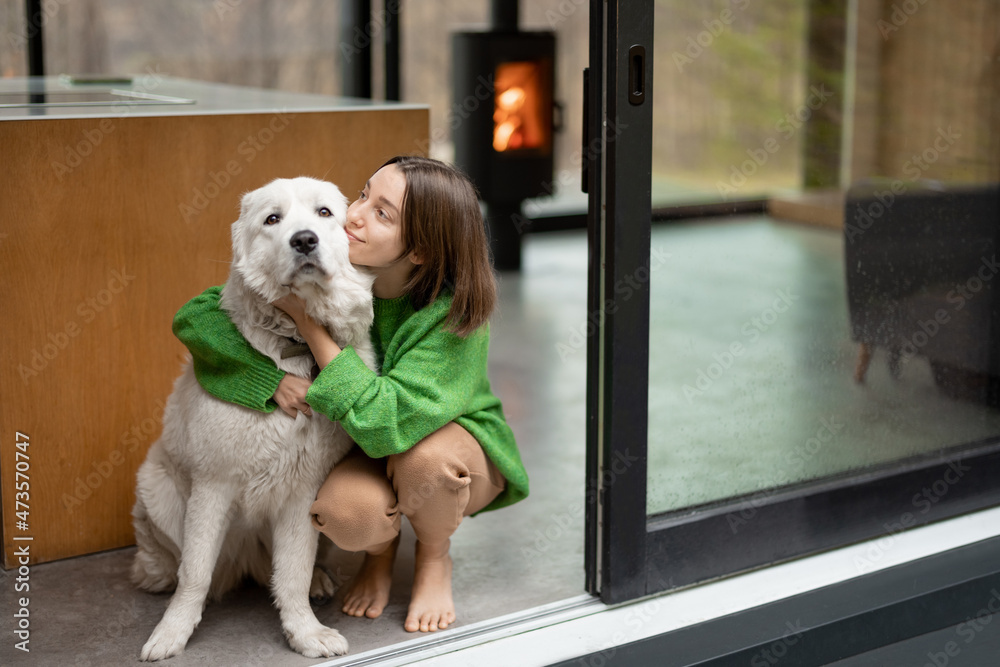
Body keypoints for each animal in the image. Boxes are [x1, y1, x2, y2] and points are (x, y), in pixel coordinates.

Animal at [133, 177, 376, 664]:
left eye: (324, 213)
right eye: (273, 219)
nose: (304, 240)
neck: (296, 346)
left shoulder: (303, 491)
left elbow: (293, 572)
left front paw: (305, 633)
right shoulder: (213, 485)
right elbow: (195, 573)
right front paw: (172, 632)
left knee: (283, 569)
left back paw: (317, 580)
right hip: (157, 487)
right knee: (174, 564)